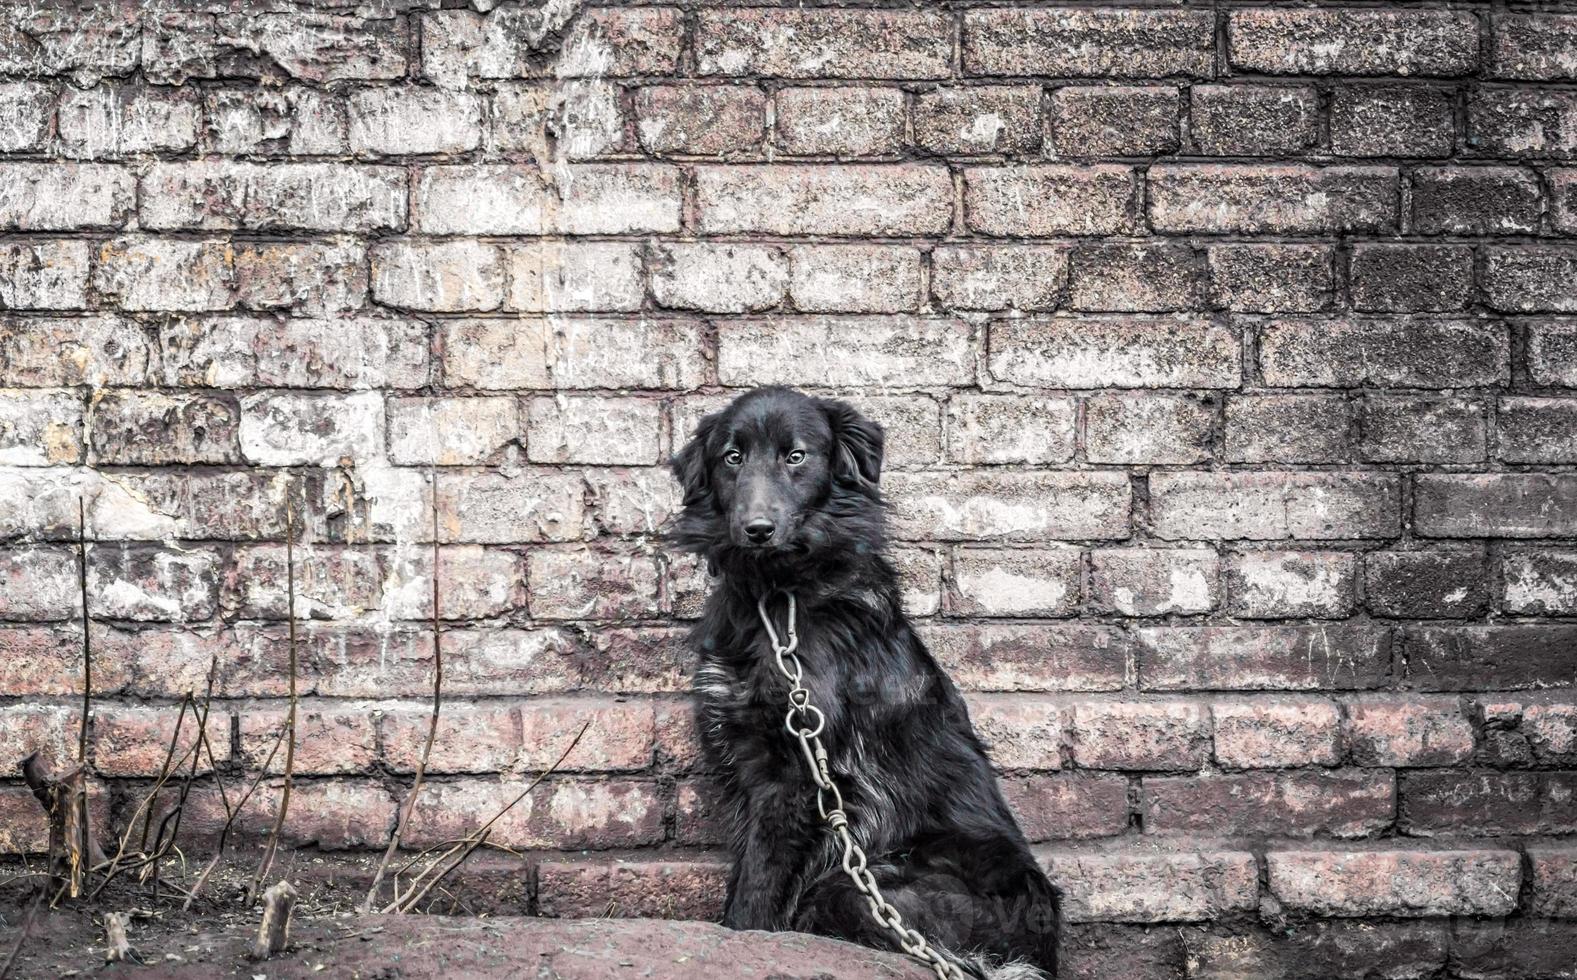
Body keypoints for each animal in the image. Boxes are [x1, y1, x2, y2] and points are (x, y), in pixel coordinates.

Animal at [668, 386, 1059, 972]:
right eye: (731, 457)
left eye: (797, 456)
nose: (757, 530)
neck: (775, 596)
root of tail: (1043, 951)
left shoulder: (796, 774)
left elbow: (756, 890)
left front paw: (742, 936)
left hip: (852, 889)